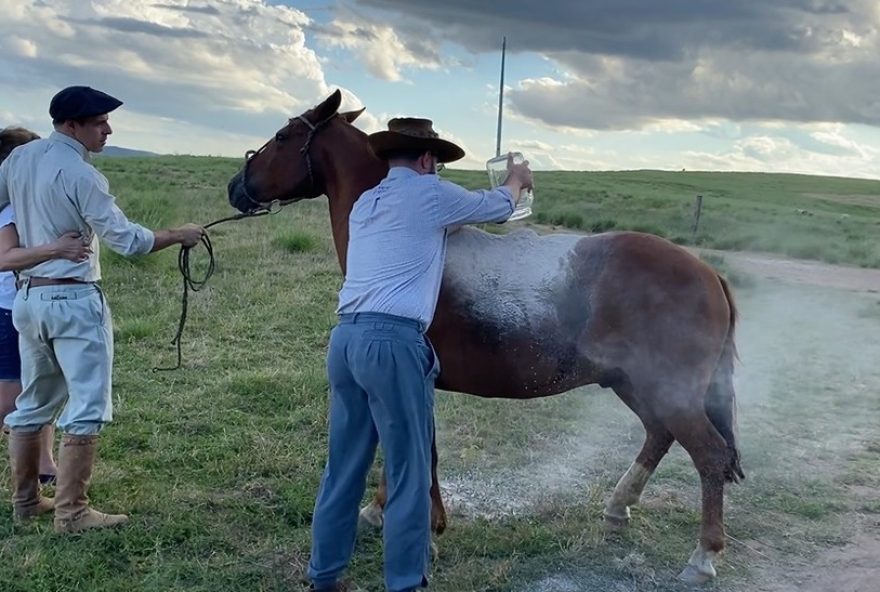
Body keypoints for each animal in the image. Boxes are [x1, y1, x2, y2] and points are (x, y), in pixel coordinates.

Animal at [225, 89, 744, 584]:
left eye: (283, 136)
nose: (235, 187)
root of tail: (708, 273)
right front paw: (380, 510)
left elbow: (420, 453)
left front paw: (421, 527)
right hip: (631, 384)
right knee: (659, 435)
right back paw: (619, 508)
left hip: (667, 391)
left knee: (709, 455)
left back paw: (703, 557)